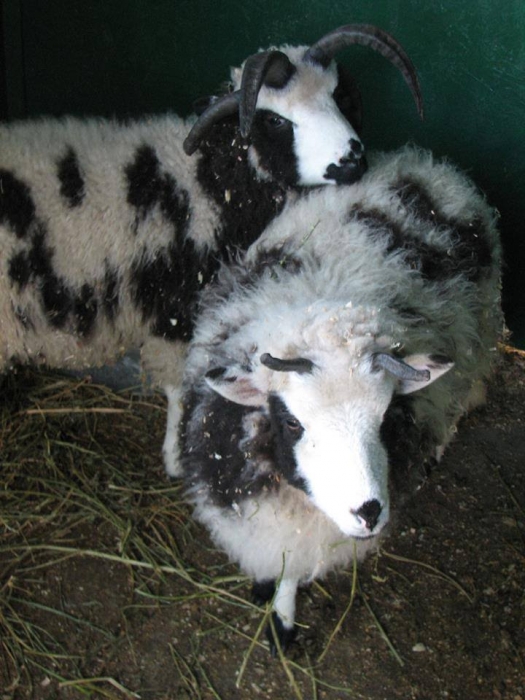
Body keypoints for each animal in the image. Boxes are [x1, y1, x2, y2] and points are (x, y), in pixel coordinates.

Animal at [0, 24, 422, 478]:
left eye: (337, 96)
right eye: (275, 120)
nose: (351, 160)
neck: (206, 179)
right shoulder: (175, 310)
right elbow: (180, 385)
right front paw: (176, 456)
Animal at [179, 145, 504, 652]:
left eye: (387, 417)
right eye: (293, 423)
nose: (368, 512)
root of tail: (429, 166)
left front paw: (283, 618)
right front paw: (265, 590)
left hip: (478, 340)